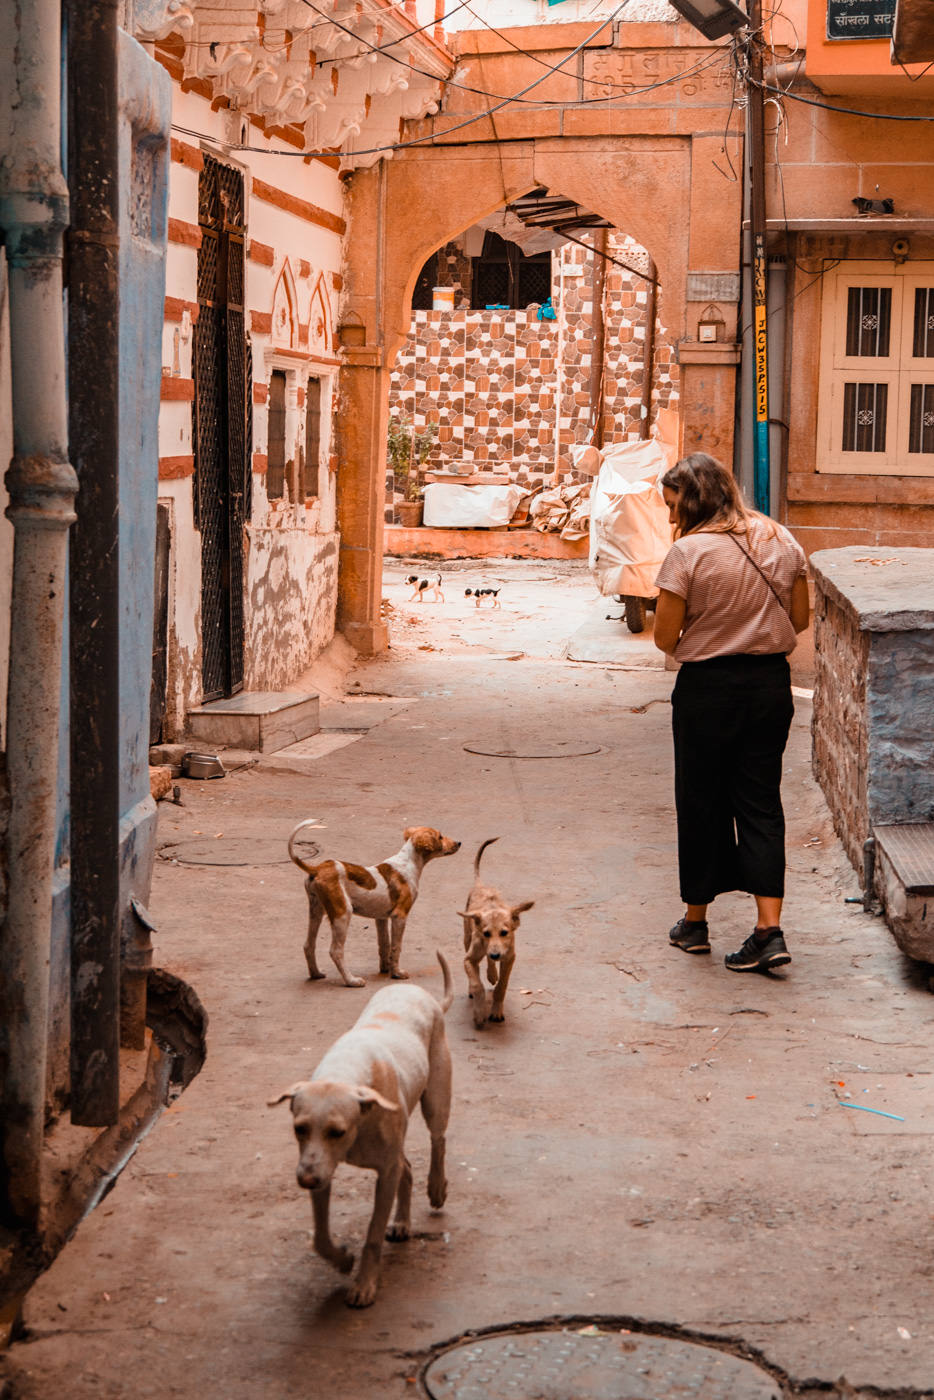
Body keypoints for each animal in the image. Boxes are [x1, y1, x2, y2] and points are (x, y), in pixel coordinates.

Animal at [268, 946, 453, 1304]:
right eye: (299, 1128)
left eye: (337, 1132)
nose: (305, 1180)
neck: (347, 1074)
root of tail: (424, 995)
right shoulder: (320, 1166)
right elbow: (320, 1237)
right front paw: (341, 1259)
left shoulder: (384, 1171)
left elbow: (372, 1233)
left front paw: (365, 1284)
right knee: (408, 1168)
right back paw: (402, 1222)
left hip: (436, 1099)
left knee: (438, 1141)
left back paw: (437, 1187)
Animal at [285, 817, 459, 985]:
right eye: (440, 836)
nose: (459, 843)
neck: (409, 862)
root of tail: (317, 868)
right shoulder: (400, 916)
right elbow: (396, 947)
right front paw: (397, 973)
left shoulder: (381, 918)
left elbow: (384, 945)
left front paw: (386, 969)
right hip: (343, 913)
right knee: (336, 951)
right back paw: (351, 980)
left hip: (316, 910)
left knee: (308, 945)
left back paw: (316, 974)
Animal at [459, 840, 532, 1030]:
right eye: (486, 933)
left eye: (504, 932)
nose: (495, 954)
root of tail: (480, 885)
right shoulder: (469, 957)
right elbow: (477, 984)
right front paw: (478, 1013)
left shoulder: (509, 957)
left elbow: (502, 986)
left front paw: (496, 1011)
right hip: (467, 937)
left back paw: (492, 974)